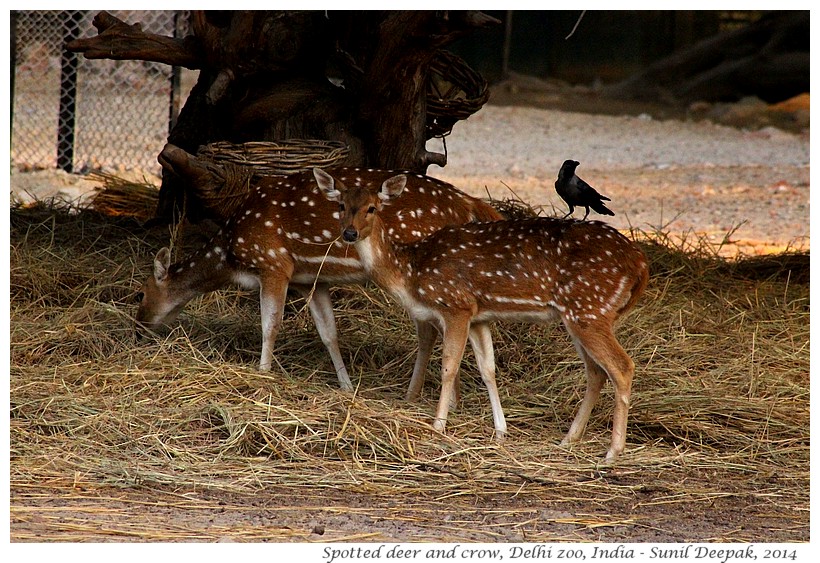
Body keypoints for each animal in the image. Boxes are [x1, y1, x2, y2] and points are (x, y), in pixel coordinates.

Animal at [138, 145, 502, 392]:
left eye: (142, 292)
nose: (140, 325)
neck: (232, 252)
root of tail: (470, 203)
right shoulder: (310, 280)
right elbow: (329, 333)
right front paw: (346, 386)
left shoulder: (274, 263)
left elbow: (270, 325)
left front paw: (263, 373)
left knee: (433, 332)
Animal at [318, 166, 652, 462]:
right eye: (341, 205)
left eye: (372, 208)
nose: (349, 233)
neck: (411, 273)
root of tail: (641, 262)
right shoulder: (480, 317)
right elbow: (487, 369)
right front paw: (501, 430)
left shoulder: (456, 305)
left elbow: (449, 366)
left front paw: (438, 426)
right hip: (580, 315)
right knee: (596, 372)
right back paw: (568, 439)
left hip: (590, 308)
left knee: (622, 367)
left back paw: (612, 451)